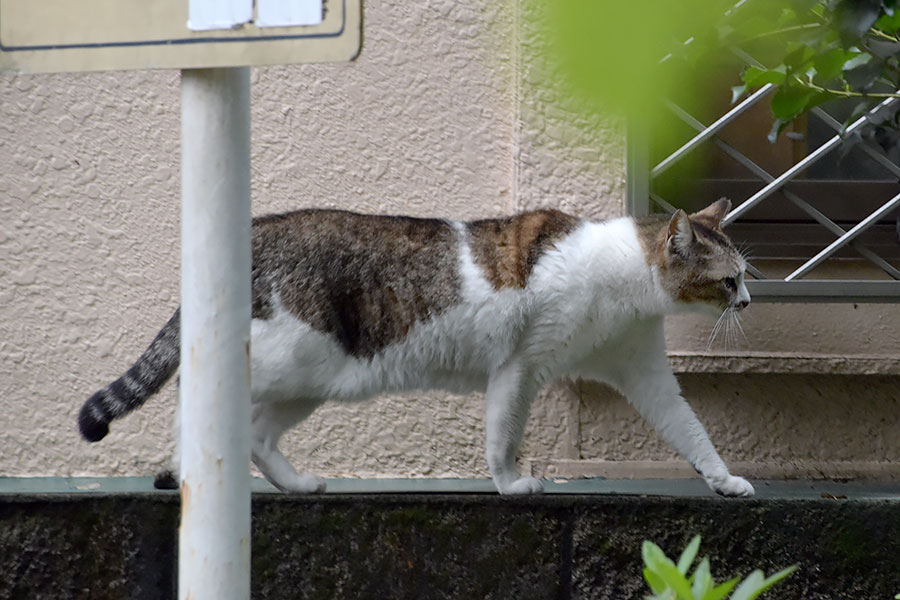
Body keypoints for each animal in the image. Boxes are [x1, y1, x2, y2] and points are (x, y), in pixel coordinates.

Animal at [77, 198, 756, 496]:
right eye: (731, 279)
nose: (750, 302)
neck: (624, 282)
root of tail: (256, 229)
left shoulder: (642, 370)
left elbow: (690, 428)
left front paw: (724, 480)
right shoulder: (521, 367)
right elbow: (503, 437)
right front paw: (510, 485)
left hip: (312, 379)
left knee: (257, 435)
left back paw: (295, 484)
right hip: (291, 361)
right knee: (194, 390)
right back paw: (184, 466)